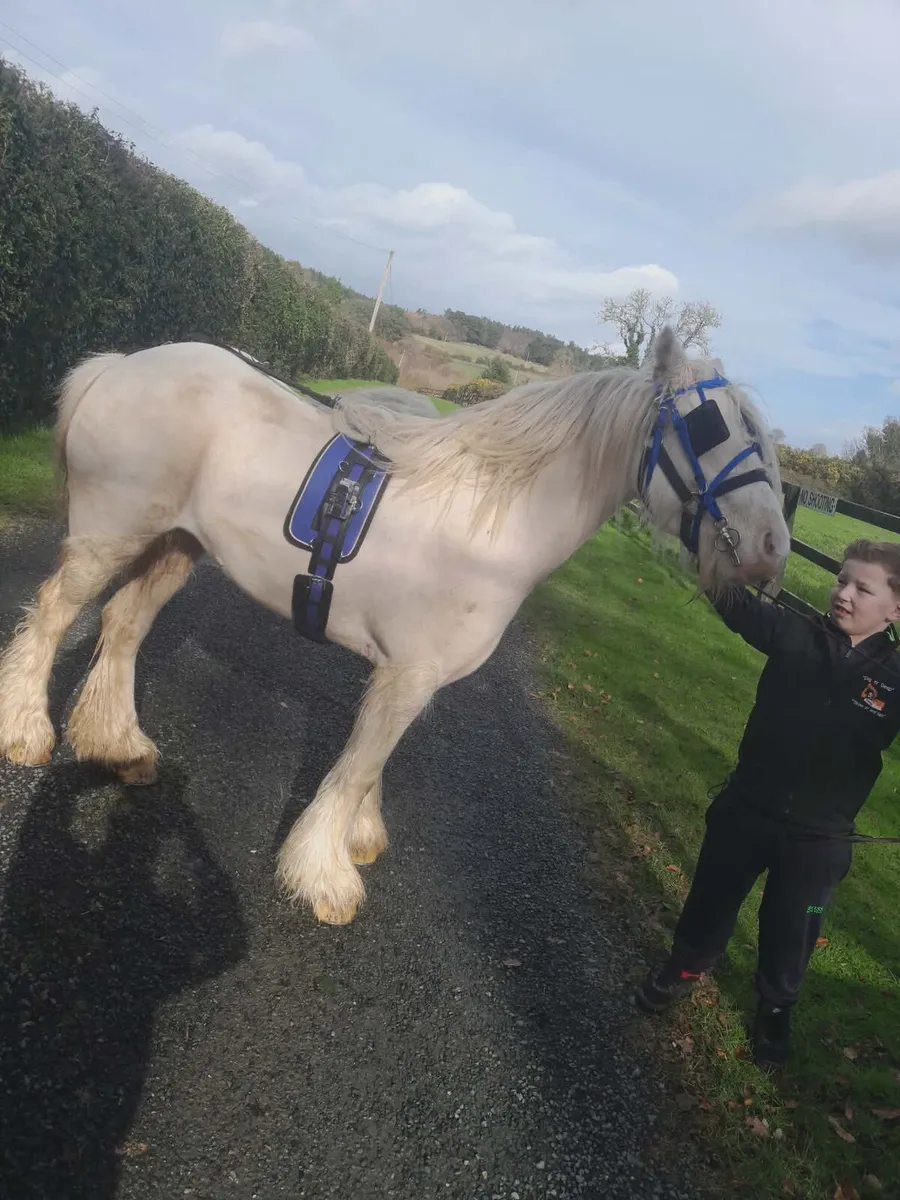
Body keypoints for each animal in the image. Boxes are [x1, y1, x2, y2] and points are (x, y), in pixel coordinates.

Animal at [0, 327, 790, 925]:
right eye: (709, 427)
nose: (771, 548)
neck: (489, 523)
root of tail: (121, 364)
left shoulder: (404, 675)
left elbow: (373, 762)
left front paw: (359, 838)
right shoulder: (409, 674)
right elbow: (357, 767)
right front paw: (323, 877)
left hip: (174, 546)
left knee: (123, 625)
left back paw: (120, 745)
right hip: (110, 536)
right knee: (55, 616)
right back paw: (26, 729)